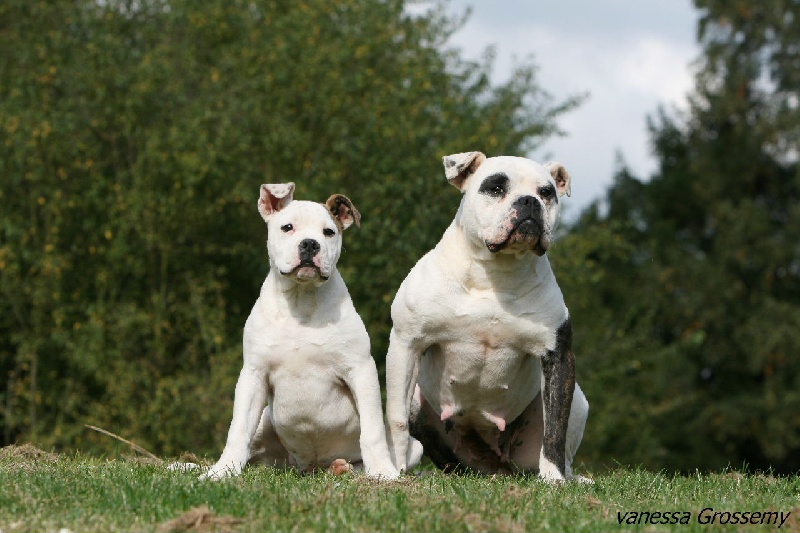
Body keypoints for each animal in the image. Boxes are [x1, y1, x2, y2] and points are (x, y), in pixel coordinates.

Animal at [205, 183, 406, 478]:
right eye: (287, 227)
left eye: (329, 232)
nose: (310, 243)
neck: (302, 300)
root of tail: (310, 468)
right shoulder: (254, 374)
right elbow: (238, 430)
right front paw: (222, 472)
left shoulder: (360, 369)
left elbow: (372, 430)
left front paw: (382, 471)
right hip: (265, 423)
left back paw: (343, 467)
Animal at [384, 152, 592, 480]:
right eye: (496, 188)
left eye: (547, 193)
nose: (529, 201)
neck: (496, 272)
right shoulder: (407, 343)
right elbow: (397, 417)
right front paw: (395, 468)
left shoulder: (558, 355)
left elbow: (555, 428)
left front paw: (555, 479)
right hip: (423, 405)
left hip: (577, 404)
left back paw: (570, 476)